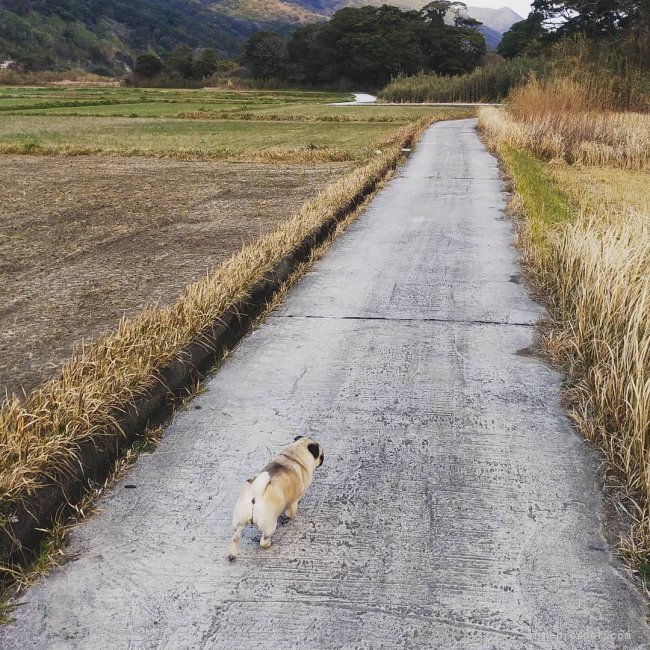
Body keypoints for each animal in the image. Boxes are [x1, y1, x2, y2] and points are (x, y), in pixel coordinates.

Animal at [228, 432, 324, 560]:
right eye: (321, 455)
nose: (323, 459)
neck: (293, 456)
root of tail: (255, 493)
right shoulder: (293, 502)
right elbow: (291, 512)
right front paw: (288, 518)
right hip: (270, 524)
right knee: (263, 541)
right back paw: (269, 543)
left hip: (239, 521)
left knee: (235, 537)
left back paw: (232, 555)